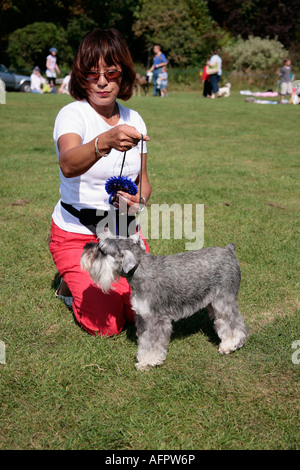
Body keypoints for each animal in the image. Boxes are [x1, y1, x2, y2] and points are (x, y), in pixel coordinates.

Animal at [81, 235, 247, 370]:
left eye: (102, 249)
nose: (86, 247)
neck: (139, 270)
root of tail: (229, 250)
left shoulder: (156, 320)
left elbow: (153, 343)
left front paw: (149, 362)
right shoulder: (143, 318)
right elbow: (145, 342)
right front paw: (143, 358)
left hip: (224, 300)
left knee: (233, 323)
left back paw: (230, 344)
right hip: (212, 302)